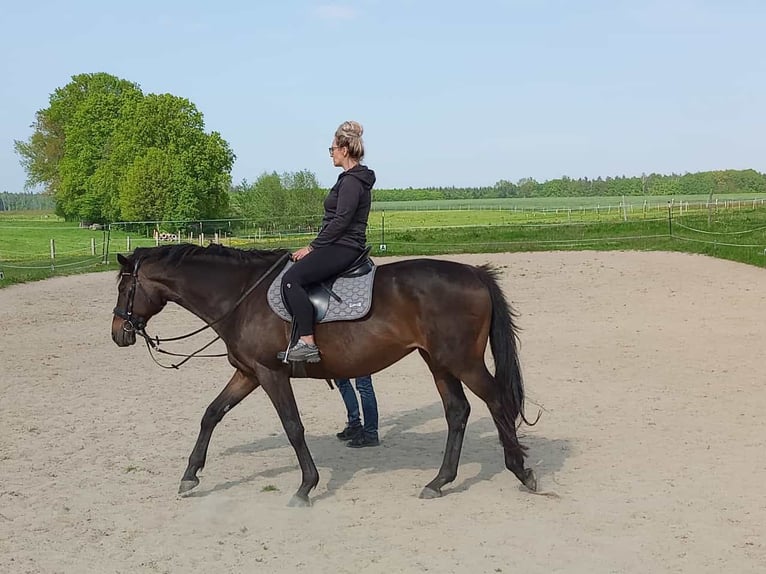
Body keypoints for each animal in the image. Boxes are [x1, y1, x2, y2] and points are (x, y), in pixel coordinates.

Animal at [111, 244, 540, 508]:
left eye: (124, 289)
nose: (118, 333)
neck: (242, 297)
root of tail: (474, 272)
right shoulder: (248, 373)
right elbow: (211, 414)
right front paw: (190, 476)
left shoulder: (270, 373)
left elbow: (292, 426)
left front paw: (305, 487)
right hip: (439, 362)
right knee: (457, 412)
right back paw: (440, 481)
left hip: (463, 362)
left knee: (497, 401)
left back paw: (521, 471)